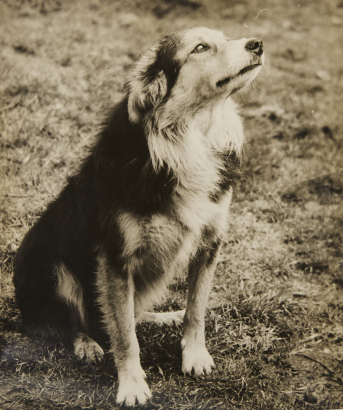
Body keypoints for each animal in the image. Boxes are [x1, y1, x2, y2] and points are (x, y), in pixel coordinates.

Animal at [13, 27, 264, 406]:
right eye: (200, 48)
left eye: (224, 37)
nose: (258, 44)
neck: (189, 140)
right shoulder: (117, 258)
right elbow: (124, 334)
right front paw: (131, 385)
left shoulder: (210, 244)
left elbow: (196, 309)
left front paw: (194, 355)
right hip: (54, 268)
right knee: (74, 322)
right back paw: (87, 345)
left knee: (132, 312)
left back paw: (164, 317)